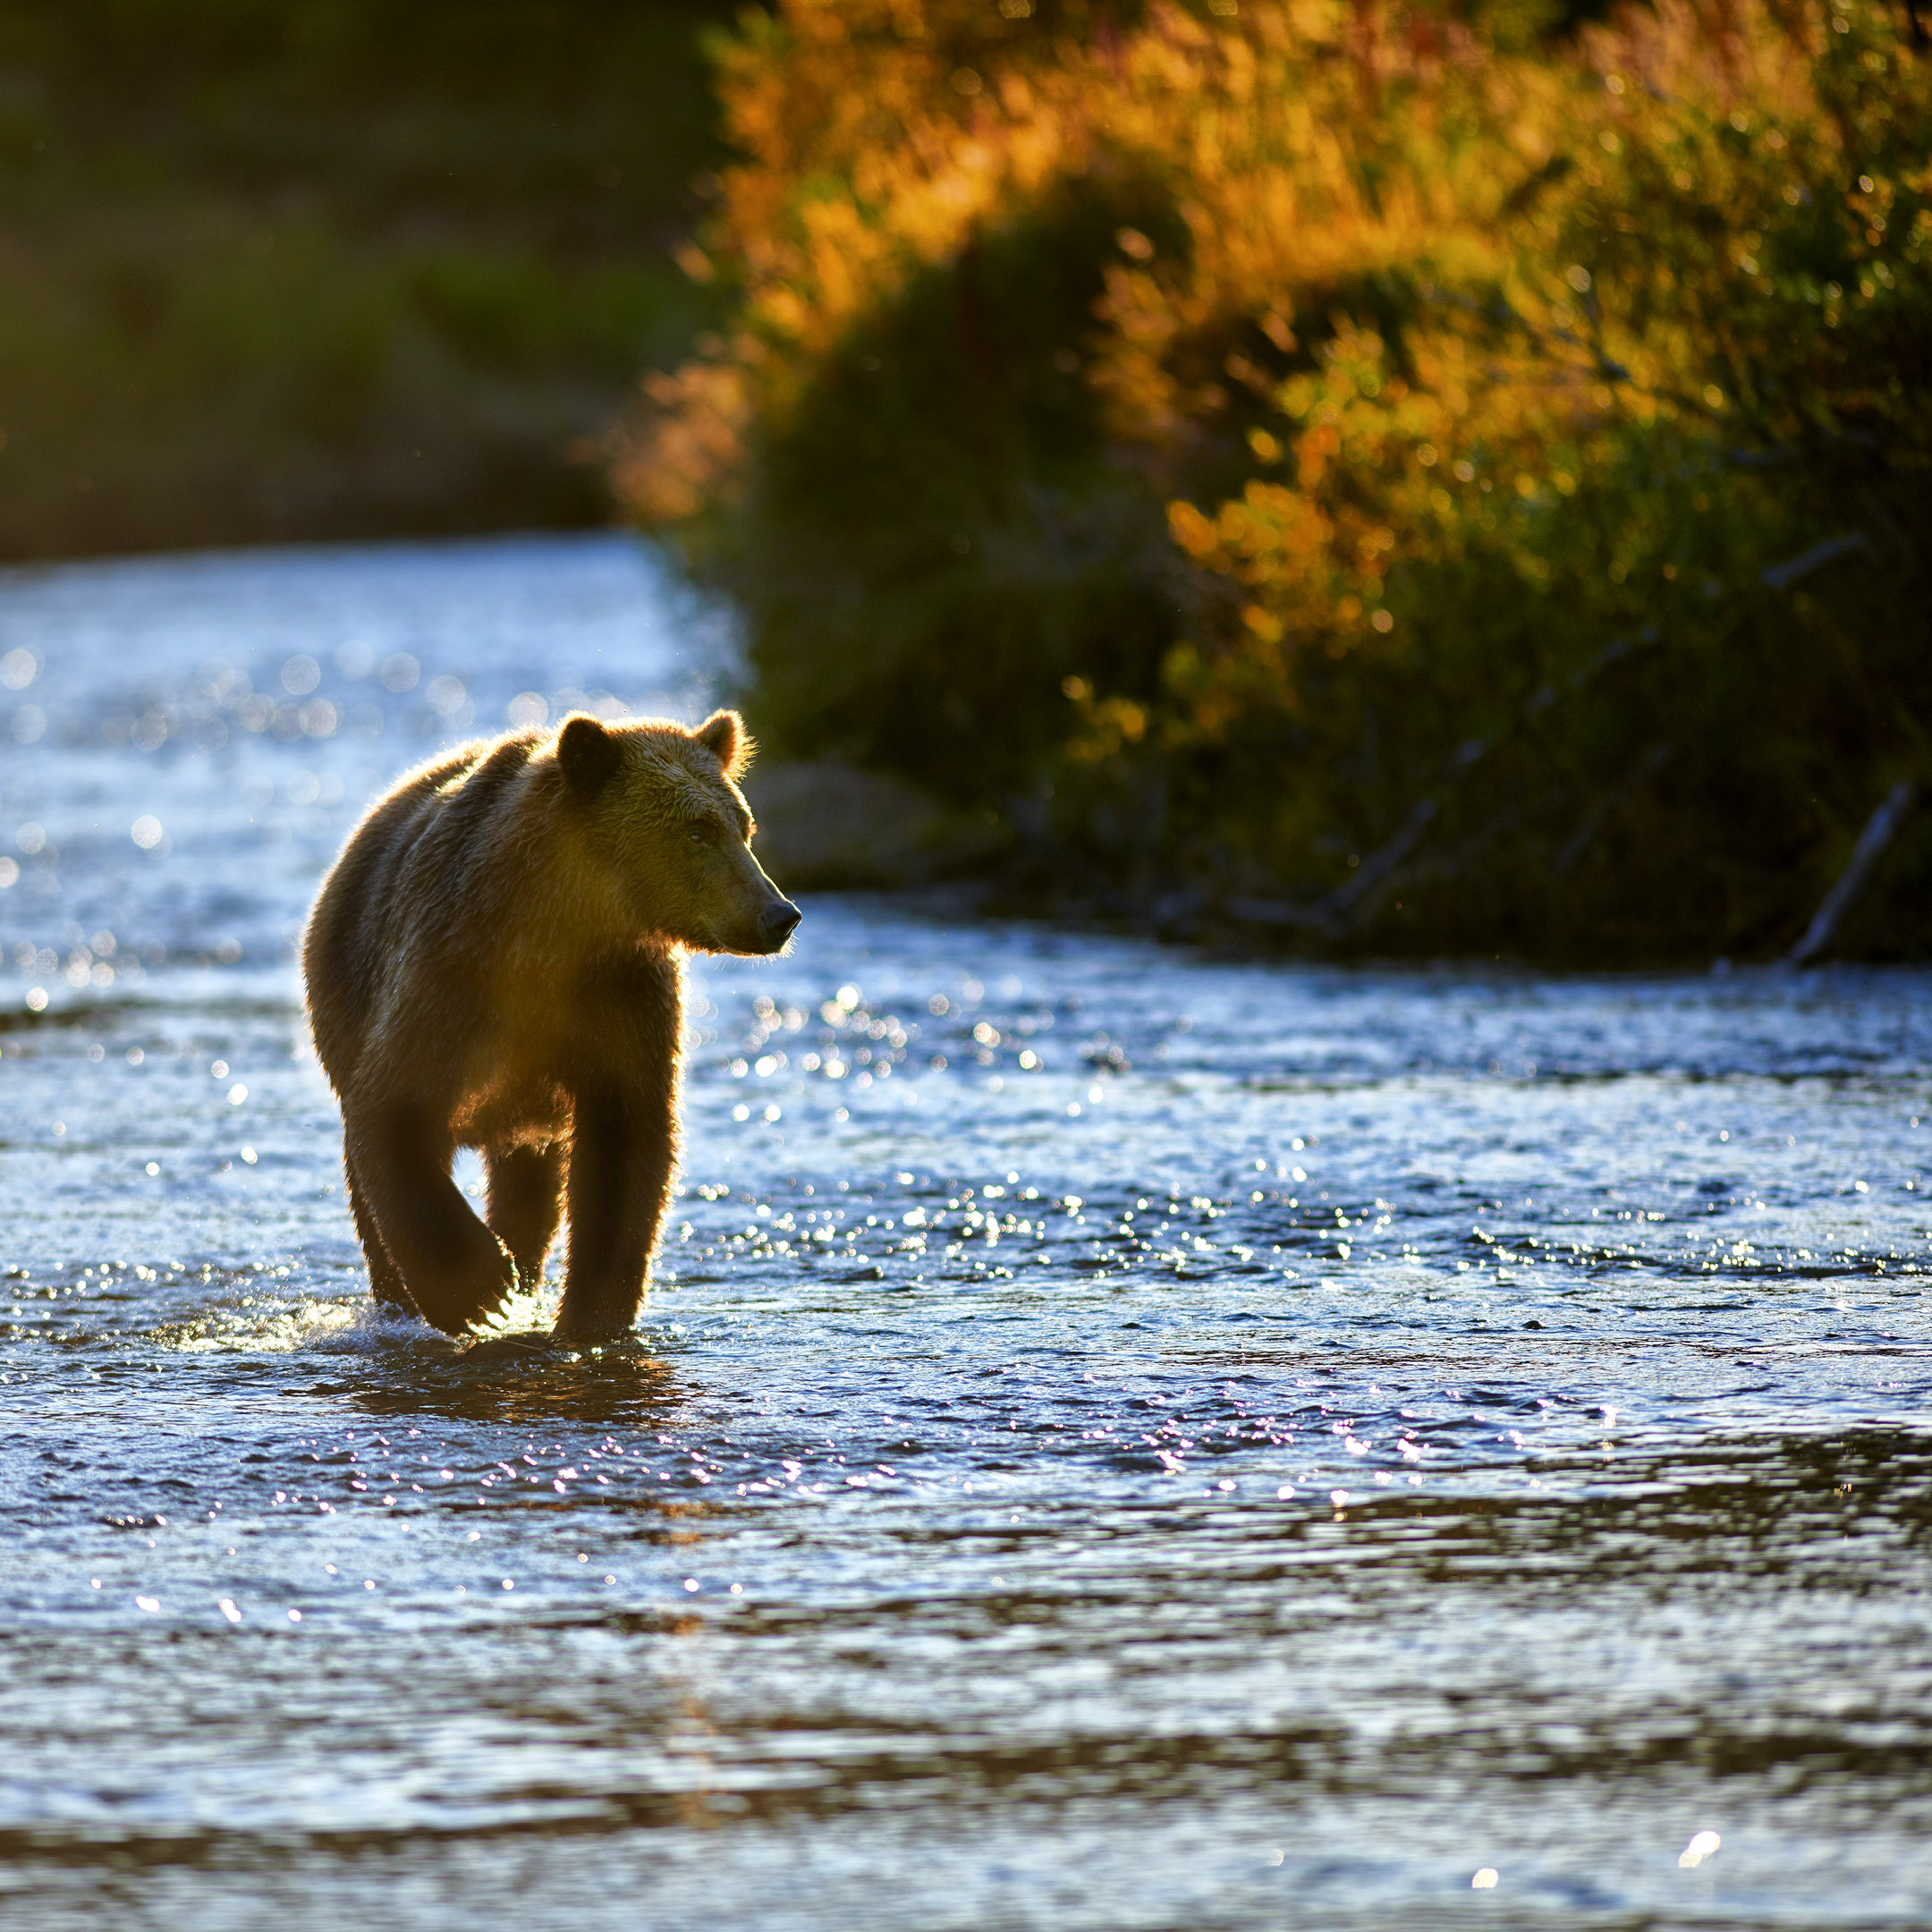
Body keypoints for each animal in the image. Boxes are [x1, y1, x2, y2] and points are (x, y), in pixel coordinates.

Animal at [299, 710, 792, 1344]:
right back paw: (407, 1299)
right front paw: (478, 1290)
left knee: (531, 1183)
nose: (779, 915)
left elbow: (625, 1148)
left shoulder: (619, 998)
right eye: (697, 832)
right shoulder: (452, 972)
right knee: (368, 1188)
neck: (558, 927)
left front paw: (590, 1313)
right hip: (344, 990)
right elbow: (396, 1107)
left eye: (744, 827)